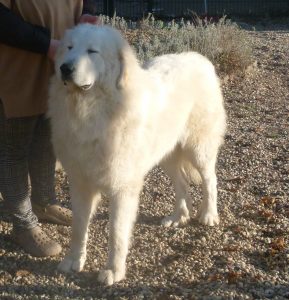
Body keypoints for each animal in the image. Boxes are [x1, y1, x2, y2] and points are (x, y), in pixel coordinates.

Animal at [48, 24, 226, 284]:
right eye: (69, 48)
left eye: (92, 51)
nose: (65, 68)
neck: (93, 111)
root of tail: (199, 58)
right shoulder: (81, 182)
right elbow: (79, 227)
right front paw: (73, 260)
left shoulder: (123, 187)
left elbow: (117, 232)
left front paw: (113, 270)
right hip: (167, 153)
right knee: (182, 184)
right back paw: (178, 217)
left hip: (198, 148)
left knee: (210, 180)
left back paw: (209, 214)